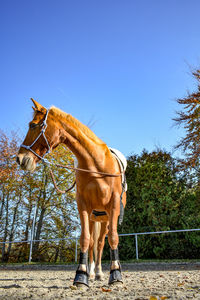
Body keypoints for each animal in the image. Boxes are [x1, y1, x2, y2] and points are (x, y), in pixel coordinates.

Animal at [16, 98, 126, 286]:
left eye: (33, 125)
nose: (20, 159)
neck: (96, 164)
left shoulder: (113, 207)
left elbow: (112, 238)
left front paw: (115, 274)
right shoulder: (83, 206)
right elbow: (85, 239)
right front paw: (81, 275)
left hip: (104, 218)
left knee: (100, 243)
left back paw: (99, 272)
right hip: (93, 217)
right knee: (93, 243)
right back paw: (92, 273)